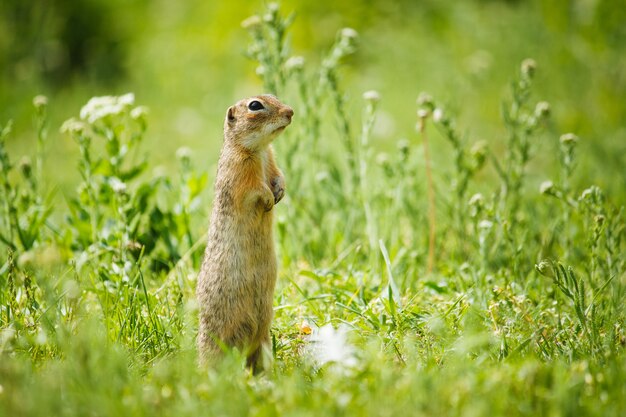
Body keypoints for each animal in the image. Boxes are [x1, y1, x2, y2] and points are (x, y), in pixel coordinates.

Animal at [195, 94, 292, 370]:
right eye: (255, 106)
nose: (290, 112)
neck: (258, 150)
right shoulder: (240, 172)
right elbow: (254, 190)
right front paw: (269, 199)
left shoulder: (272, 159)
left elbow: (279, 176)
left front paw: (280, 192)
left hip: (263, 340)